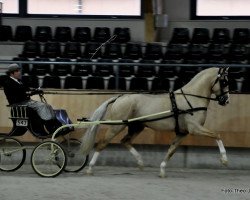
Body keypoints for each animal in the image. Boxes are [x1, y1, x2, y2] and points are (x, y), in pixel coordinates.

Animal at [81, 67, 229, 177]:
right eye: (224, 81)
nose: (226, 101)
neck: (191, 99)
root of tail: (120, 97)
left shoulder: (183, 133)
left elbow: (171, 150)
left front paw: (162, 170)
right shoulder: (195, 129)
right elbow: (217, 135)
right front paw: (224, 160)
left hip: (136, 127)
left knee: (126, 141)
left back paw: (140, 163)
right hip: (117, 126)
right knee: (102, 143)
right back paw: (90, 168)